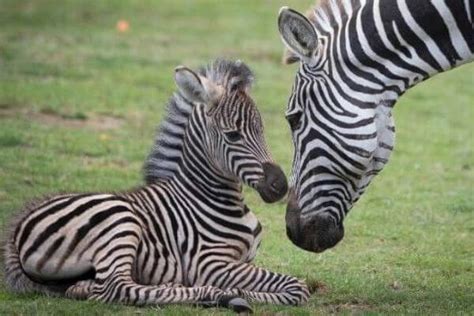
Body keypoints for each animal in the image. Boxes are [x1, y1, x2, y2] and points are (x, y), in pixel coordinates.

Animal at [2, 59, 312, 312]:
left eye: (262, 131)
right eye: (233, 135)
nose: (280, 186)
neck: (207, 197)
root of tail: (16, 230)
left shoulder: (244, 260)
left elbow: (290, 285)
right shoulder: (209, 263)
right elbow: (296, 287)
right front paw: (236, 291)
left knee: (95, 287)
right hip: (119, 221)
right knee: (115, 288)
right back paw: (218, 295)